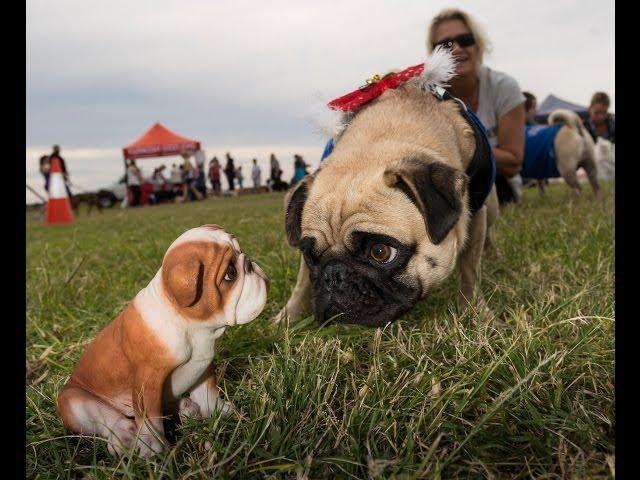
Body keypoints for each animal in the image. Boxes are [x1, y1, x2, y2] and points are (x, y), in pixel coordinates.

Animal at [276, 49, 500, 326]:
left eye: (380, 252)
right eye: (310, 255)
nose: (333, 275)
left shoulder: (474, 215)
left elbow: (469, 270)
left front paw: (476, 312)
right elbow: (301, 283)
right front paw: (289, 316)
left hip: (490, 208)